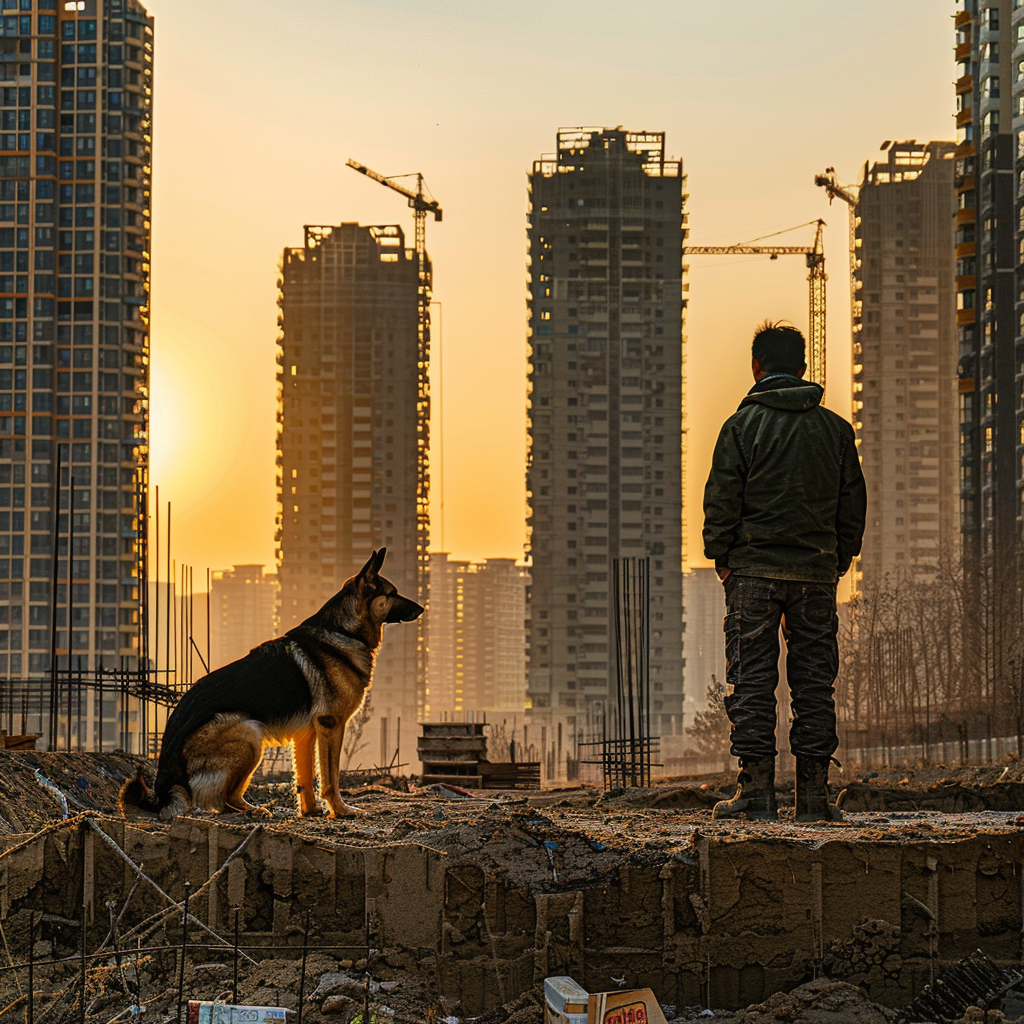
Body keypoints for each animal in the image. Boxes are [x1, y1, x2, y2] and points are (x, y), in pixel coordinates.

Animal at [117, 548, 421, 819]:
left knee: (228, 797)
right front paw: (341, 810)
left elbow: (305, 778)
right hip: (249, 733)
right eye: (392, 593)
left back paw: (257, 809)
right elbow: (331, 777)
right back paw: (255, 811)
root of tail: (165, 782)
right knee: (221, 799)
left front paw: (310, 812)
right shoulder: (331, 725)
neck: (343, 630)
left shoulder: (307, 733)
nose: (422, 608)